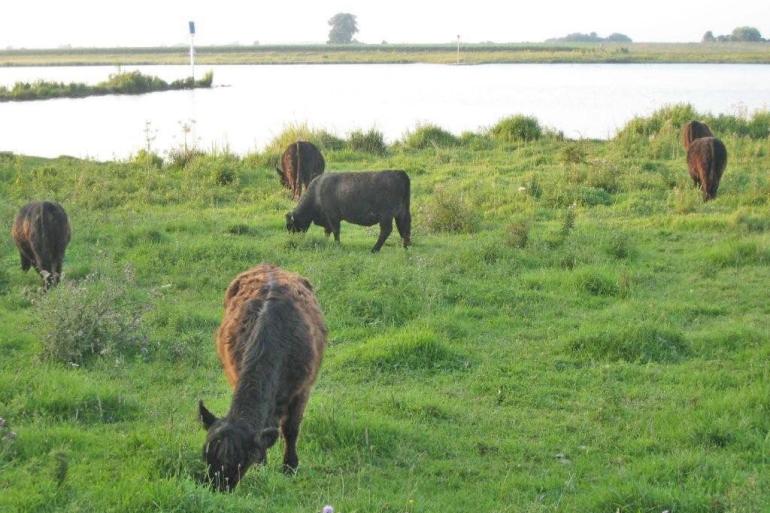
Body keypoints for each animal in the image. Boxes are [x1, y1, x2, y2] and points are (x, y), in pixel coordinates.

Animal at [198, 264, 324, 492]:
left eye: (239, 461)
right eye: (206, 456)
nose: (217, 489)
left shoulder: (302, 389)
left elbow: (291, 429)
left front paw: (290, 466)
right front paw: (262, 465)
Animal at [284, 170, 412, 252]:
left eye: (290, 226)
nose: (292, 240)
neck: (317, 191)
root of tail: (399, 173)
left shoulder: (333, 217)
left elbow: (335, 231)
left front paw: (337, 245)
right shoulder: (328, 219)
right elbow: (327, 231)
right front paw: (326, 242)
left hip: (386, 216)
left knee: (386, 231)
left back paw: (374, 249)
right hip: (402, 213)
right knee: (404, 228)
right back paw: (405, 248)